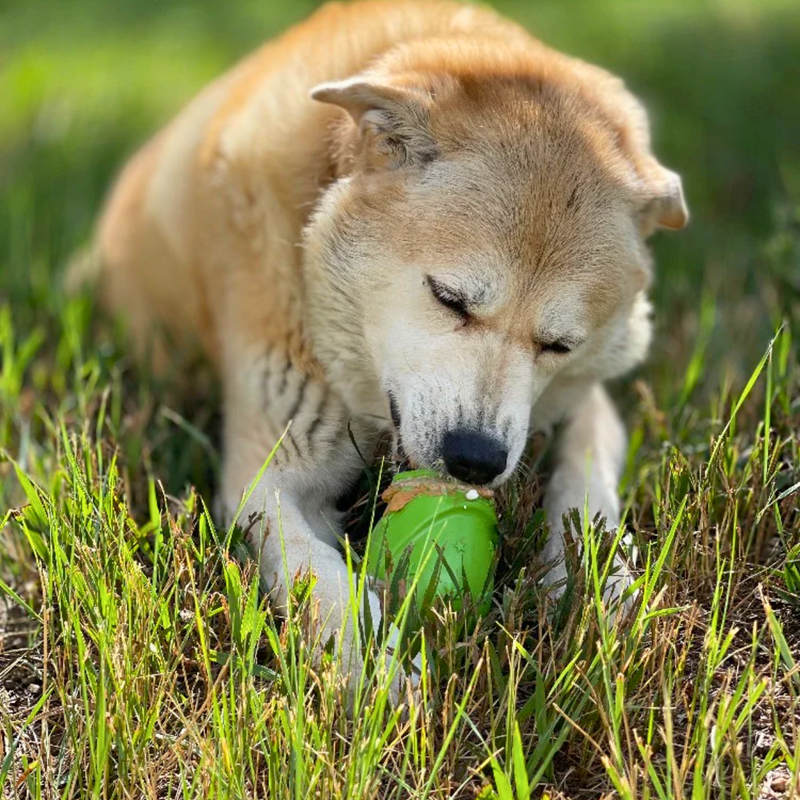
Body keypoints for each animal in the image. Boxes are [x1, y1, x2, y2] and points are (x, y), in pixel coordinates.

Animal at [86, 0, 688, 700]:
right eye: (449, 298)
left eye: (557, 344)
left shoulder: (583, 404)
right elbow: (315, 574)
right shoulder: (267, 477)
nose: (476, 460)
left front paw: (601, 590)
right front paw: (381, 672)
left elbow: (588, 491)